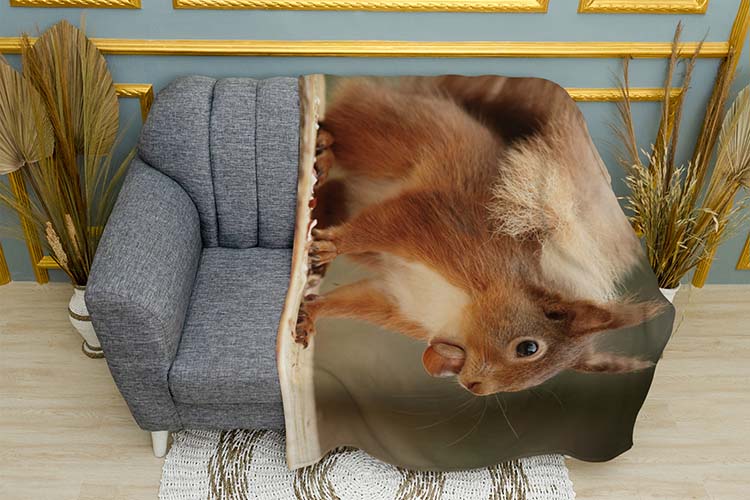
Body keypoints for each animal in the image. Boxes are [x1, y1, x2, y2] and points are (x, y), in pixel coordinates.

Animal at [296, 77, 664, 396]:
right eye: (528, 348)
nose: (476, 389)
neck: (463, 308)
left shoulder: (398, 300)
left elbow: (351, 301)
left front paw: (309, 315)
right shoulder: (430, 221)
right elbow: (375, 227)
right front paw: (332, 246)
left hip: (353, 190)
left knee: (334, 192)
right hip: (384, 136)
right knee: (345, 121)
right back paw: (324, 147)